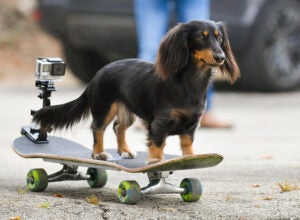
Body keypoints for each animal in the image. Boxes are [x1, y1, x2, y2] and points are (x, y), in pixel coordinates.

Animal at [32, 20, 239, 164]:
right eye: (201, 37)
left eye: (219, 37)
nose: (220, 57)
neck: (189, 82)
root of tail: (97, 74)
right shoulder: (160, 122)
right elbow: (158, 142)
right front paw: (155, 160)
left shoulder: (192, 124)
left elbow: (187, 144)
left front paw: (190, 159)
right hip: (104, 107)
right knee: (97, 128)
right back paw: (98, 153)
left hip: (127, 111)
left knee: (118, 127)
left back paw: (124, 150)